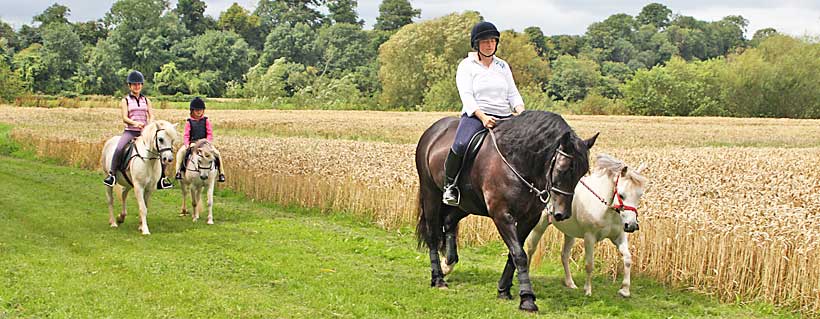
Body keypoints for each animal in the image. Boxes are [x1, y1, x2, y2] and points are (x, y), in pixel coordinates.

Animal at [416, 110, 596, 312]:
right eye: (563, 168)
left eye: (582, 173)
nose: (562, 214)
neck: (517, 161)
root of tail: (433, 131)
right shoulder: (502, 216)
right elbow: (519, 254)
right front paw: (527, 299)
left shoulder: (529, 218)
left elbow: (514, 253)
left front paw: (503, 290)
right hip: (430, 193)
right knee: (432, 233)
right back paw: (438, 278)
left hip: (468, 204)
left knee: (449, 221)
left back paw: (449, 262)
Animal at [524, 154, 648, 298]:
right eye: (622, 195)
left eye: (640, 195)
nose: (632, 225)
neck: (606, 208)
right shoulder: (589, 237)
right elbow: (589, 264)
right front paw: (588, 290)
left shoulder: (619, 236)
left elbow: (628, 258)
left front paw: (625, 290)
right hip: (539, 227)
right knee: (531, 249)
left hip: (569, 233)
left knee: (564, 255)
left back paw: (570, 283)